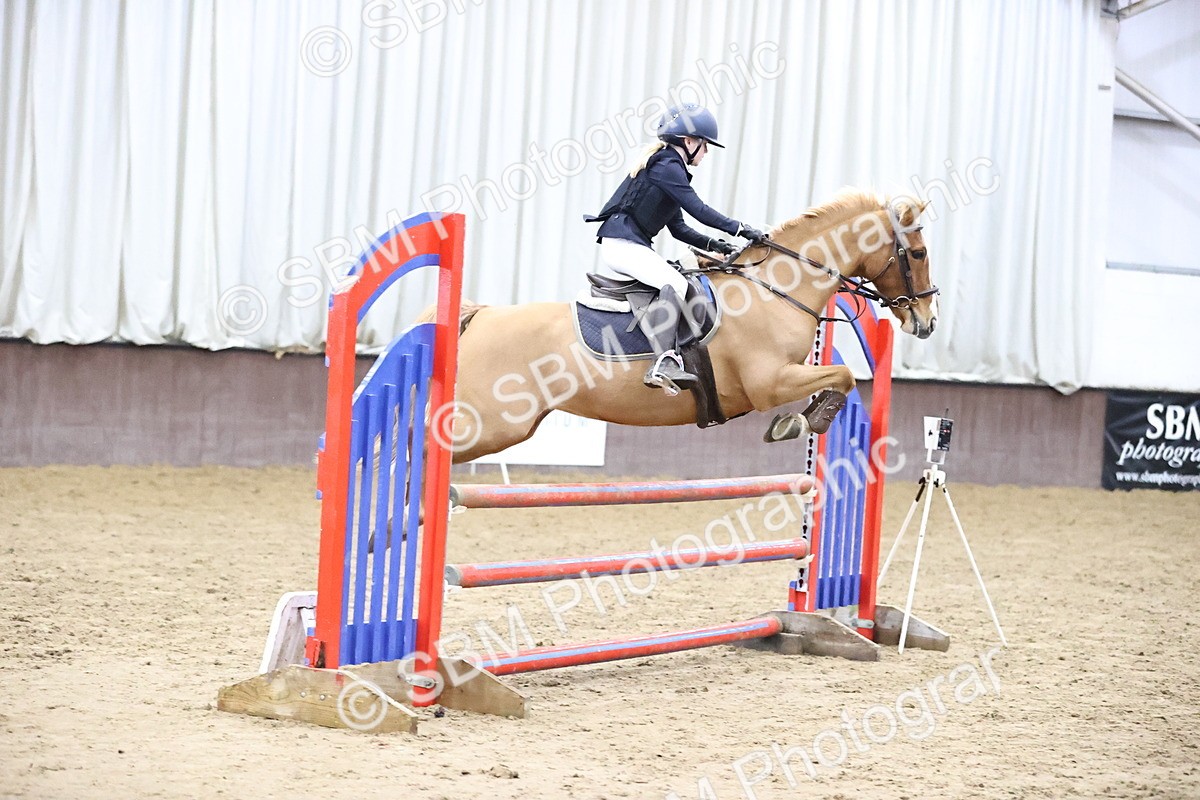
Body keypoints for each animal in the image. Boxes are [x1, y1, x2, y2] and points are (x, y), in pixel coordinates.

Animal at [434, 189, 939, 462]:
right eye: (917, 253)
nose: (927, 321)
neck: (775, 287)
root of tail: (480, 316)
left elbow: (838, 377)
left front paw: (800, 420)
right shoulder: (769, 383)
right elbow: (844, 374)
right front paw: (801, 422)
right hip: (489, 424)